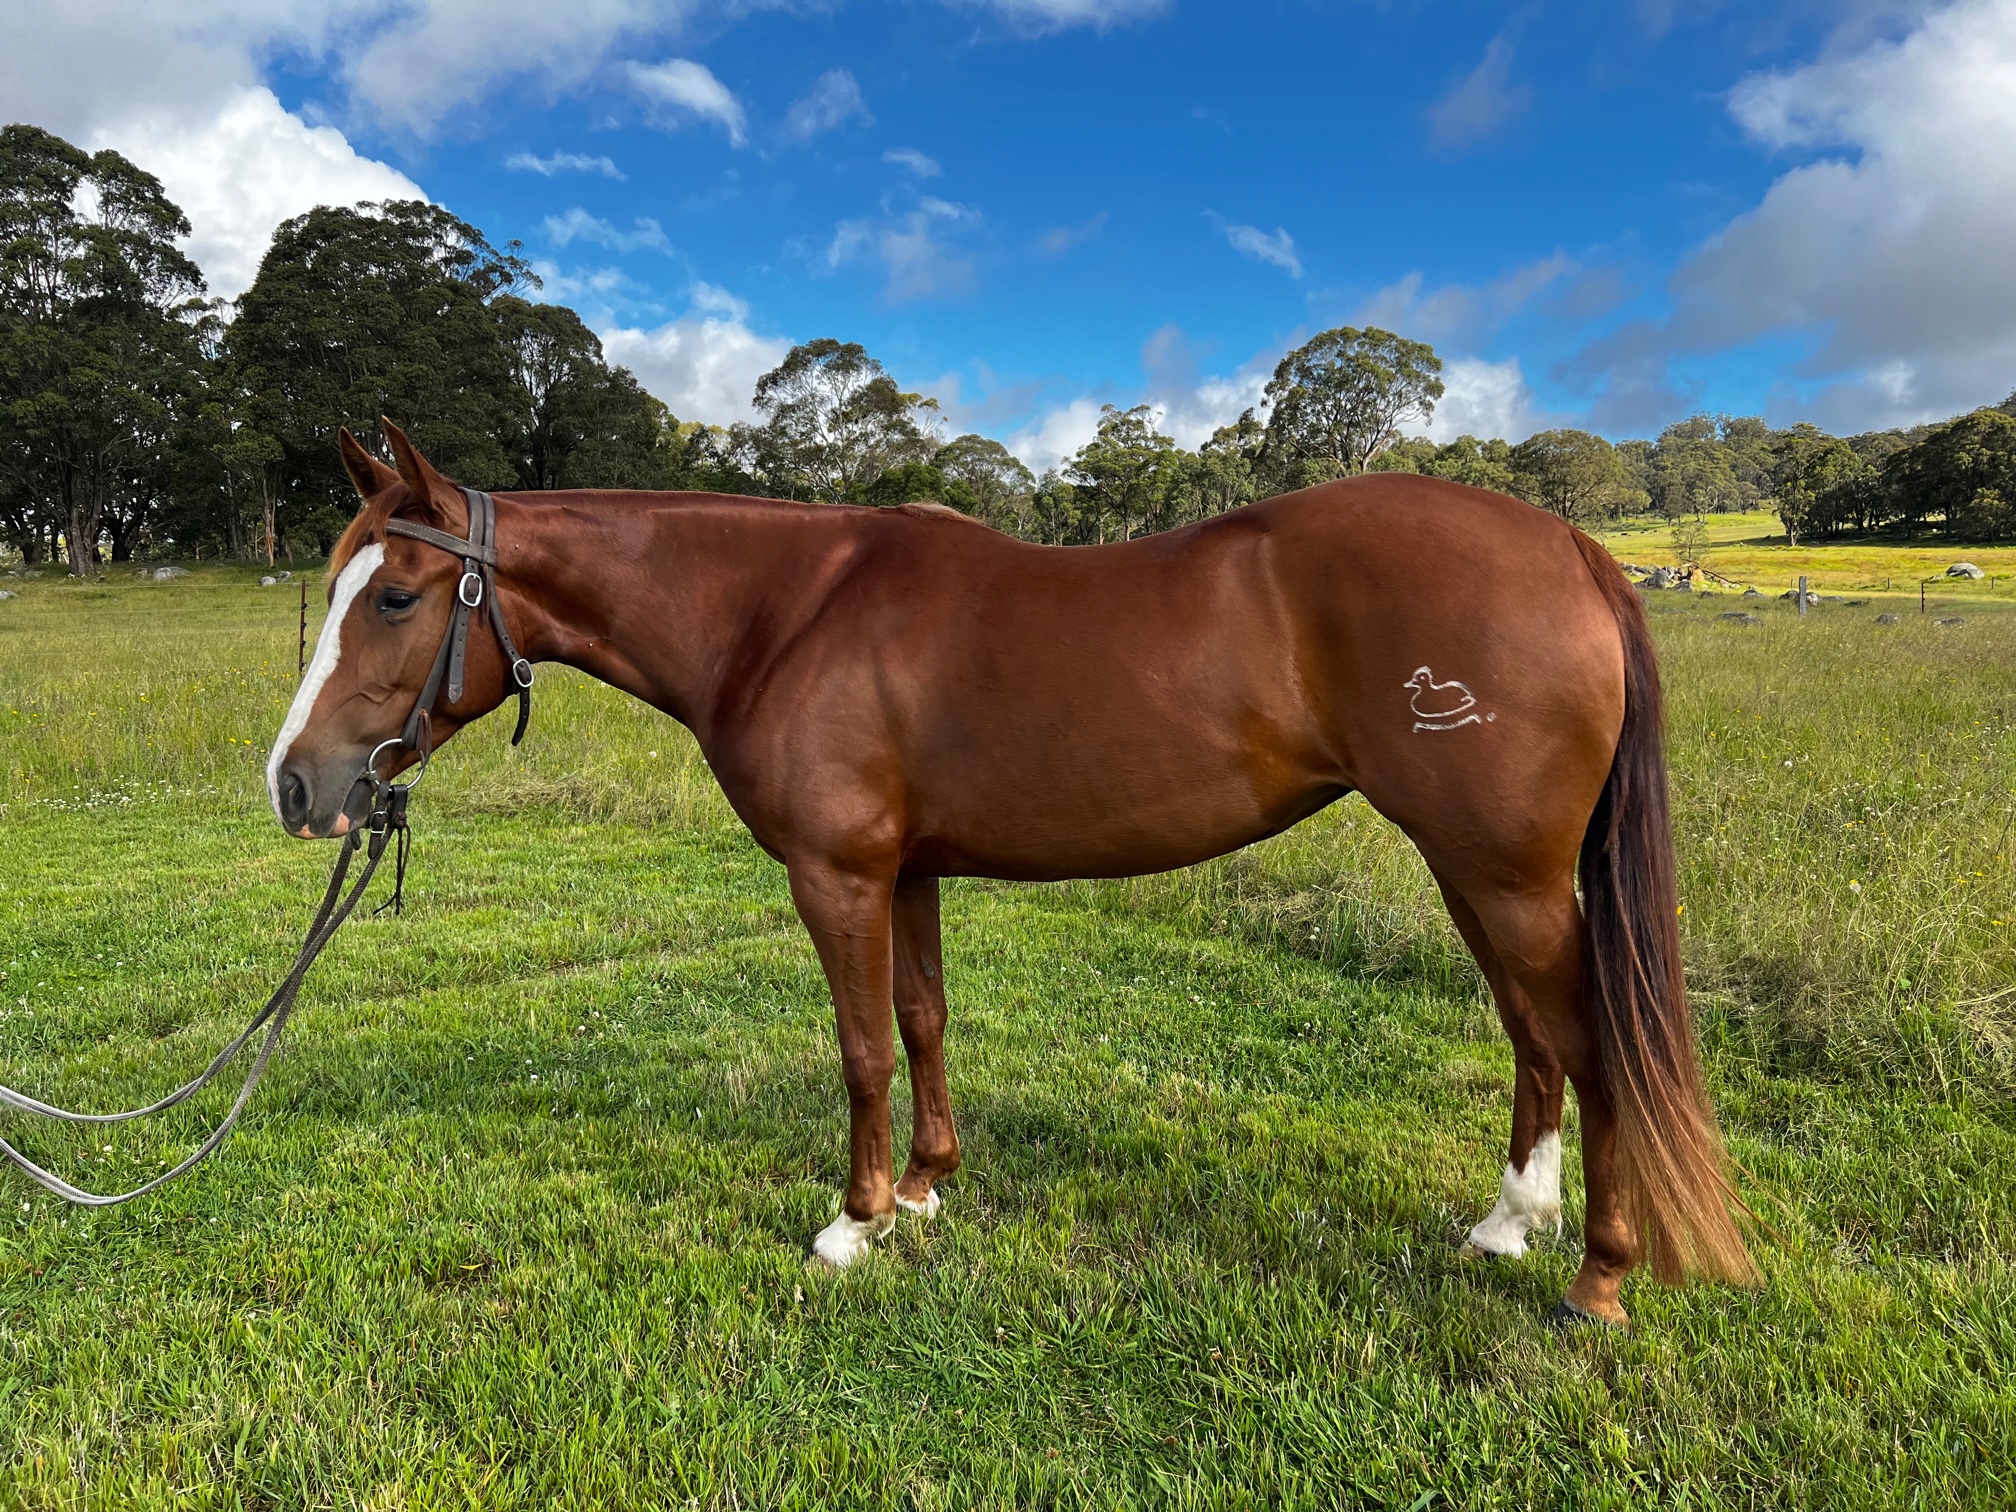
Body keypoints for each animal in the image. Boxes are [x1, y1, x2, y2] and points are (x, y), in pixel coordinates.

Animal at [267, 420, 1755, 1327]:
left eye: (395, 596)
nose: (298, 787)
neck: (781, 611)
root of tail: (1571, 547)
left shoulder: (839, 877)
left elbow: (862, 1046)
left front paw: (856, 1222)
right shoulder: (907, 871)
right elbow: (924, 1020)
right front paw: (928, 1187)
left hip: (1502, 874)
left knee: (1590, 1043)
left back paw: (1597, 1279)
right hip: (1479, 874)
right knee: (1535, 1035)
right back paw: (1511, 1224)